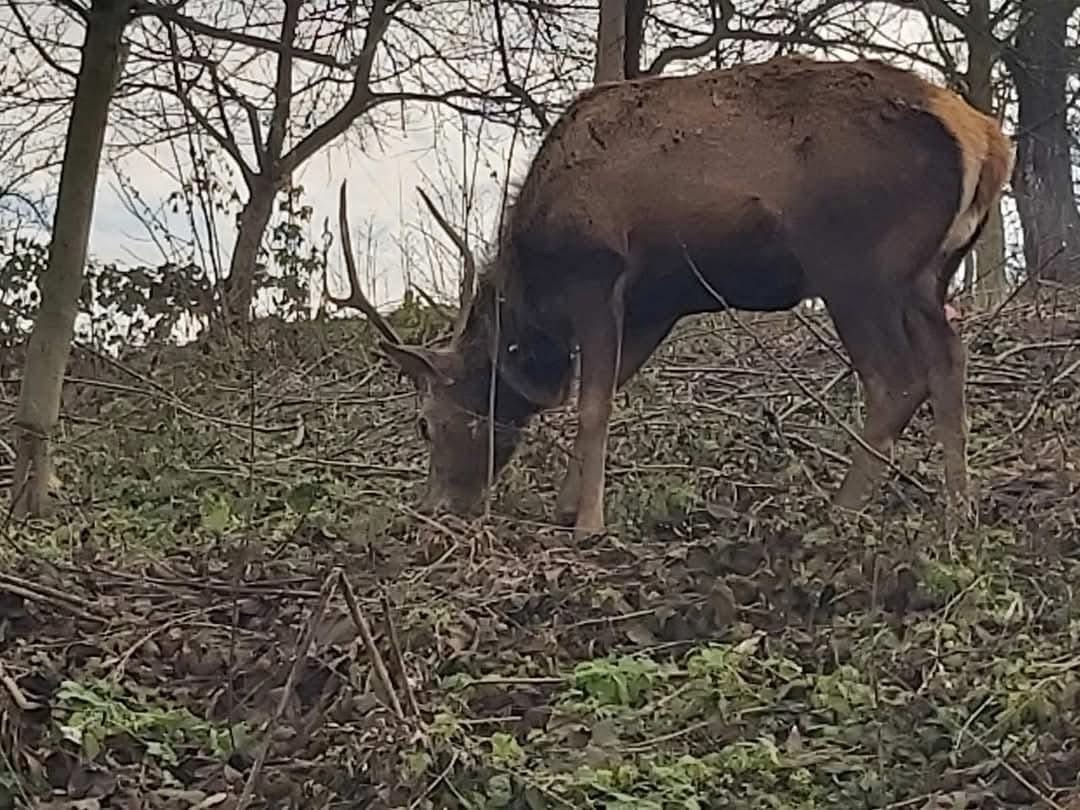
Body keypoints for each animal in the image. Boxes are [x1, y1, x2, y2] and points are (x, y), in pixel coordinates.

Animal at [352, 55, 1010, 540]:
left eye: (425, 423)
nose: (438, 507)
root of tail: (987, 140)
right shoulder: (656, 303)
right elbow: (609, 385)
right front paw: (566, 507)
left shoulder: (598, 273)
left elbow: (592, 404)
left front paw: (588, 524)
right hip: (929, 274)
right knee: (948, 360)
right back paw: (960, 510)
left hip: (853, 262)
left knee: (895, 378)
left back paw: (840, 512)